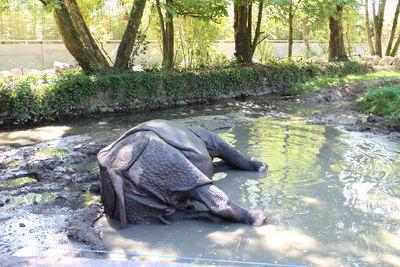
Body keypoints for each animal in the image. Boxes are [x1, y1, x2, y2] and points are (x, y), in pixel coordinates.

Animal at [97, 120, 268, 229]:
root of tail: (115, 171)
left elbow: (221, 163)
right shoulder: (210, 139)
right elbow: (231, 153)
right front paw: (261, 167)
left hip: (135, 185)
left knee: (171, 216)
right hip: (156, 157)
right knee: (196, 183)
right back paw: (259, 219)